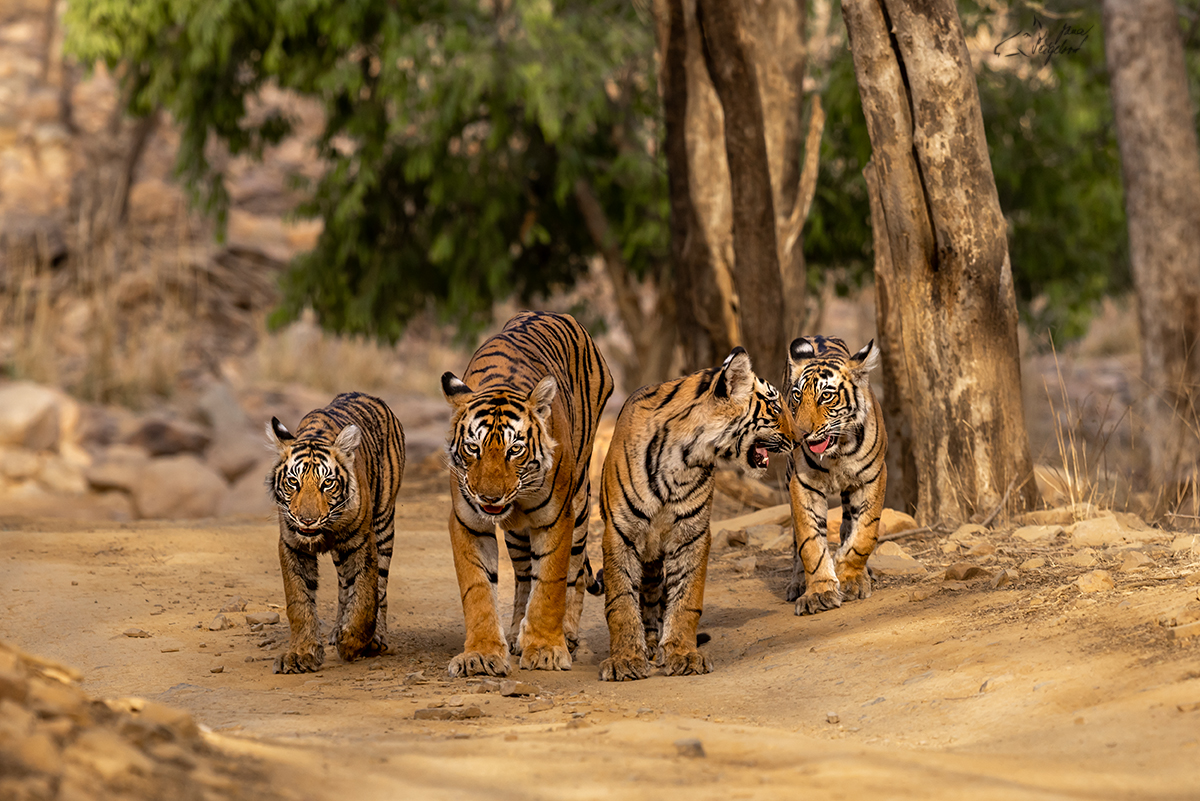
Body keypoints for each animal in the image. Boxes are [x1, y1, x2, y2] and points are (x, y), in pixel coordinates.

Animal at [267, 390, 408, 671]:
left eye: (327, 483)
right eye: (293, 482)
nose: (307, 520)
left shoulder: (362, 542)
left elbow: (366, 596)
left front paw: (353, 642)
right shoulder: (292, 545)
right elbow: (299, 601)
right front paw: (301, 654)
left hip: (384, 522)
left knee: (381, 587)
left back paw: (375, 638)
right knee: (344, 586)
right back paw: (337, 630)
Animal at [441, 311, 614, 676]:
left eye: (515, 450)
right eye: (473, 448)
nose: (490, 498)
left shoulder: (556, 518)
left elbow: (550, 583)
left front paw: (547, 649)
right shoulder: (467, 522)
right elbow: (478, 588)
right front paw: (481, 654)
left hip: (579, 502)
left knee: (575, 573)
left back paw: (567, 634)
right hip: (517, 535)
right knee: (523, 577)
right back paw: (516, 632)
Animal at [597, 345, 796, 681]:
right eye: (775, 408)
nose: (800, 438)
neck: (684, 457)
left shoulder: (692, 533)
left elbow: (685, 598)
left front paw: (681, 653)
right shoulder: (621, 533)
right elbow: (621, 601)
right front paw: (625, 659)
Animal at [782, 335, 888, 618]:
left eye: (826, 396)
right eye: (797, 396)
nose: (801, 434)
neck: (837, 451)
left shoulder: (873, 476)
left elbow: (865, 533)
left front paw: (847, 574)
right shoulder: (803, 484)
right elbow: (810, 543)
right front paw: (819, 593)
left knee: (849, 524)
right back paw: (798, 583)